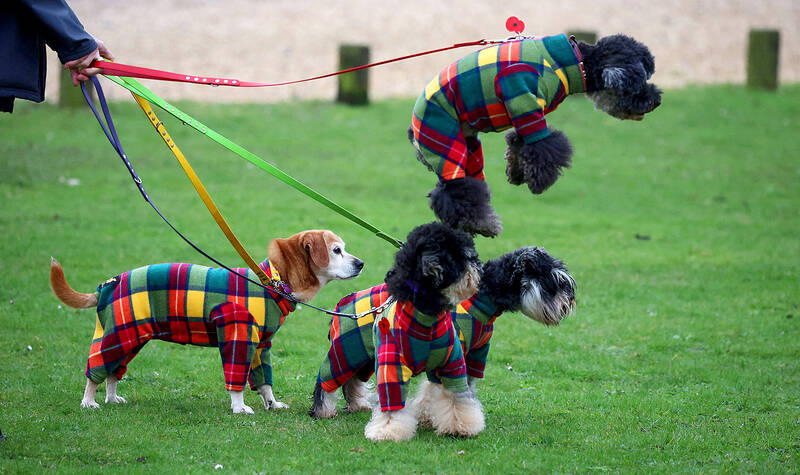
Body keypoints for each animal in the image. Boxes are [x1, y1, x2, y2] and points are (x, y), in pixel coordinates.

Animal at [50, 230, 362, 412]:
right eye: (336, 250)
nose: (361, 263)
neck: (272, 282)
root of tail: (109, 283)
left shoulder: (261, 345)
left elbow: (264, 382)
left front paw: (271, 404)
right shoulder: (238, 337)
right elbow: (236, 380)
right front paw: (239, 408)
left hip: (132, 336)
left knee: (114, 372)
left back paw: (112, 397)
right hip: (117, 334)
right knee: (96, 369)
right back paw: (89, 401)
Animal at [306, 247, 576, 436]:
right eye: (554, 281)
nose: (568, 303)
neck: (482, 297)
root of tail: (342, 304)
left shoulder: (471, 356)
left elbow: (459, 390)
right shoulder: (451, 354)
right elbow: (440, 390)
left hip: (364, 357)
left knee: (352, 382)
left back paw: (358, 405)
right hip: (346, 352)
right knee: (325, 380)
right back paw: (323, 411)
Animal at [410, 32, 660, 237]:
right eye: (639, 82)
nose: (656, 101)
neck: (575, 62)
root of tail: (413, 128)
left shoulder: (526, 114)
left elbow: (520, 144)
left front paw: (517, 172)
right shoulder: (521, 95)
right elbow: (543, 147)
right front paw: (539, 181)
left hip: (469, 145)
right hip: (443, 137)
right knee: (455, 190)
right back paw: (483, 224)